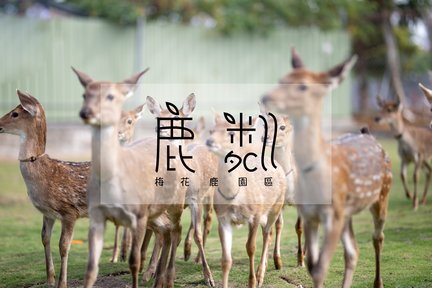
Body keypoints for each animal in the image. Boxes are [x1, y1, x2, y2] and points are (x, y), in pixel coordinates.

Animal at [0, 90, 90, 288]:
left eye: (15, 114)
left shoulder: (69, 210)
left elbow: (63, 245)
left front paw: (62, 283)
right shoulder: (47, 212)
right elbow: (44, 238)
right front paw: (50, 279)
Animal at [72, 68, 187, 288]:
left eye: (111, 96)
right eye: (84, 94)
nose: (86, 113)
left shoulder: (139, 215)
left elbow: (134, 261)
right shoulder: (96, 215)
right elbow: (91, 268)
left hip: (175, 203)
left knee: (177, 229)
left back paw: (168, 277)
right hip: (157, 211)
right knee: (167, 231)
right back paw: (157, 278)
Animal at [262, 48, 394, 286]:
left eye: (282, 127)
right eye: (263, 125)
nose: (265, 138)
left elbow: (299, 229)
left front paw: (300, 259)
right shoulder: (288, 202)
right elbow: (279, 225)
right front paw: (277, 262)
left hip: (380, 197)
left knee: (377, 236)